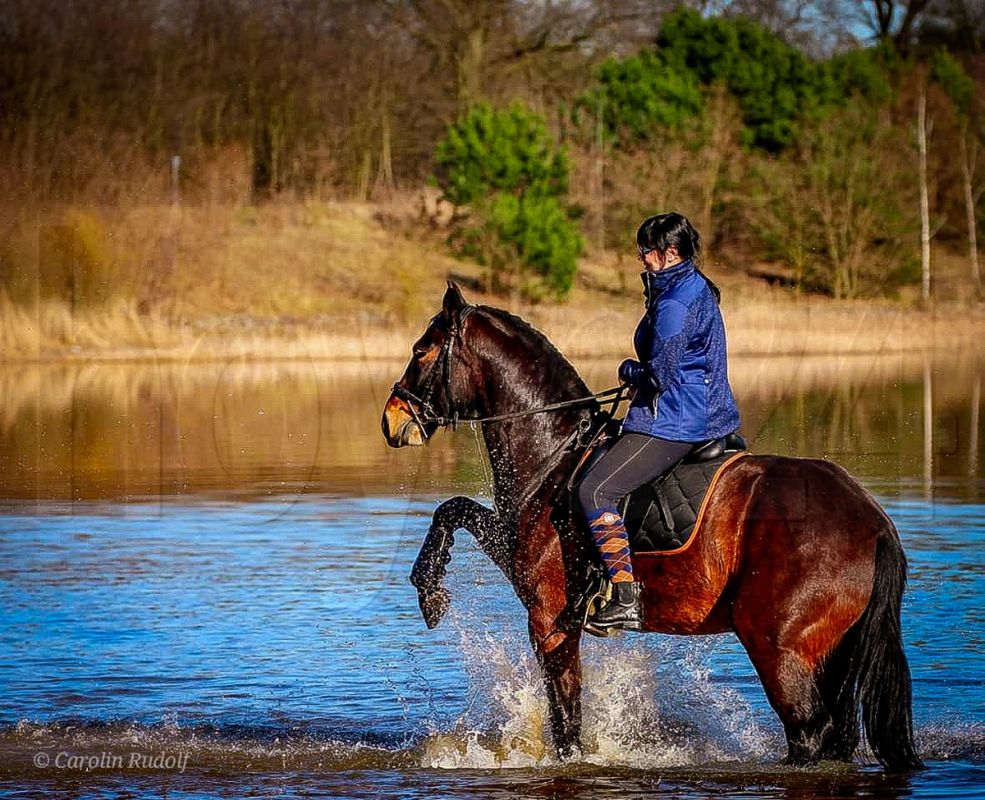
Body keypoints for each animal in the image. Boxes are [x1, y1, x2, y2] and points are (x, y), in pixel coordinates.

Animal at [382, 284, 924, 772]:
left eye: (421, 350)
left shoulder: (549, 620)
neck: (554, 455)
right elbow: (452, 508)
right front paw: (429, 591)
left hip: (780, 651)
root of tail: (874, 522)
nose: (391, 419)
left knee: (810, 734)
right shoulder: (514, 552)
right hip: (833, 654)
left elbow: (566, 722)